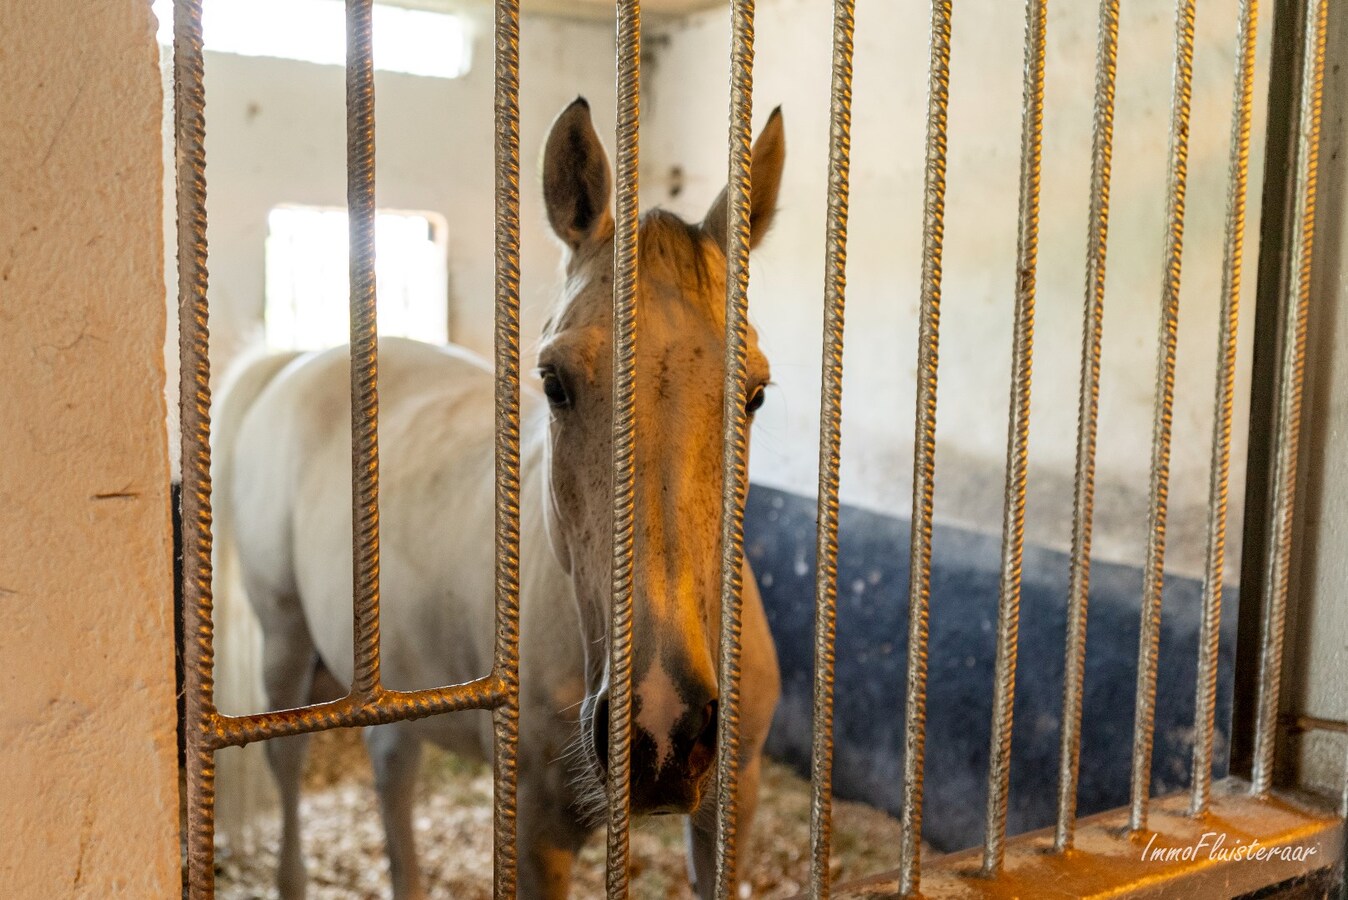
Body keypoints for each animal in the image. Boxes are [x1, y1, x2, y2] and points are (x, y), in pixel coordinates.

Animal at [214, 98, 787, 900]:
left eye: (755, 394)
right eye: (553, 381)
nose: (661, 730)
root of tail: (295, 361)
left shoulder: (731, 807)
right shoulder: (535, 834)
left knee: (392, 773)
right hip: (286, 641)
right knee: (287, 762)